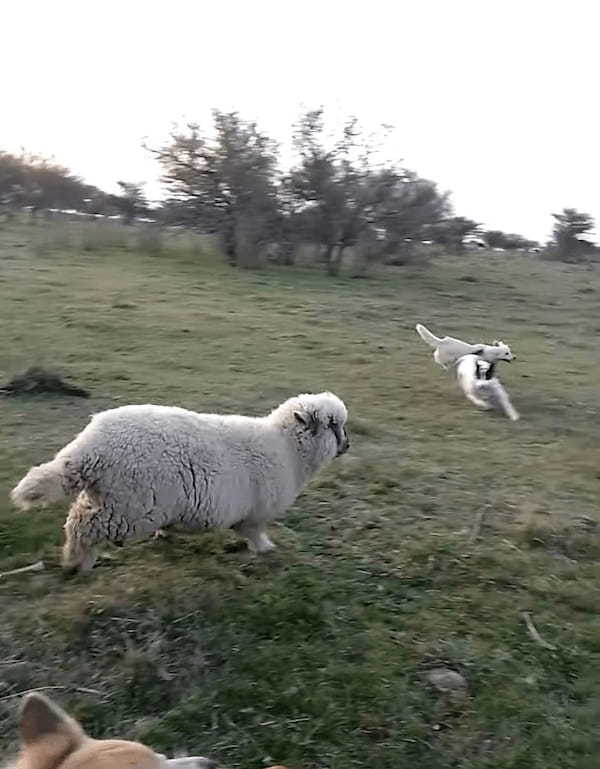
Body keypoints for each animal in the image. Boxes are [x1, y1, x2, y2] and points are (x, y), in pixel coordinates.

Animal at [9, 390, 350, 568]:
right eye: (334, 425)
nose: (347, 445)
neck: (287, 449)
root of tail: (89, 448)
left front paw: (165, 534)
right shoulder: (254, 513)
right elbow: (253, 532)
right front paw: (265, 549)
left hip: (109, 496)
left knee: (79, 515)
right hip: (128, 506)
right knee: (81, 525)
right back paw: (78, 562)